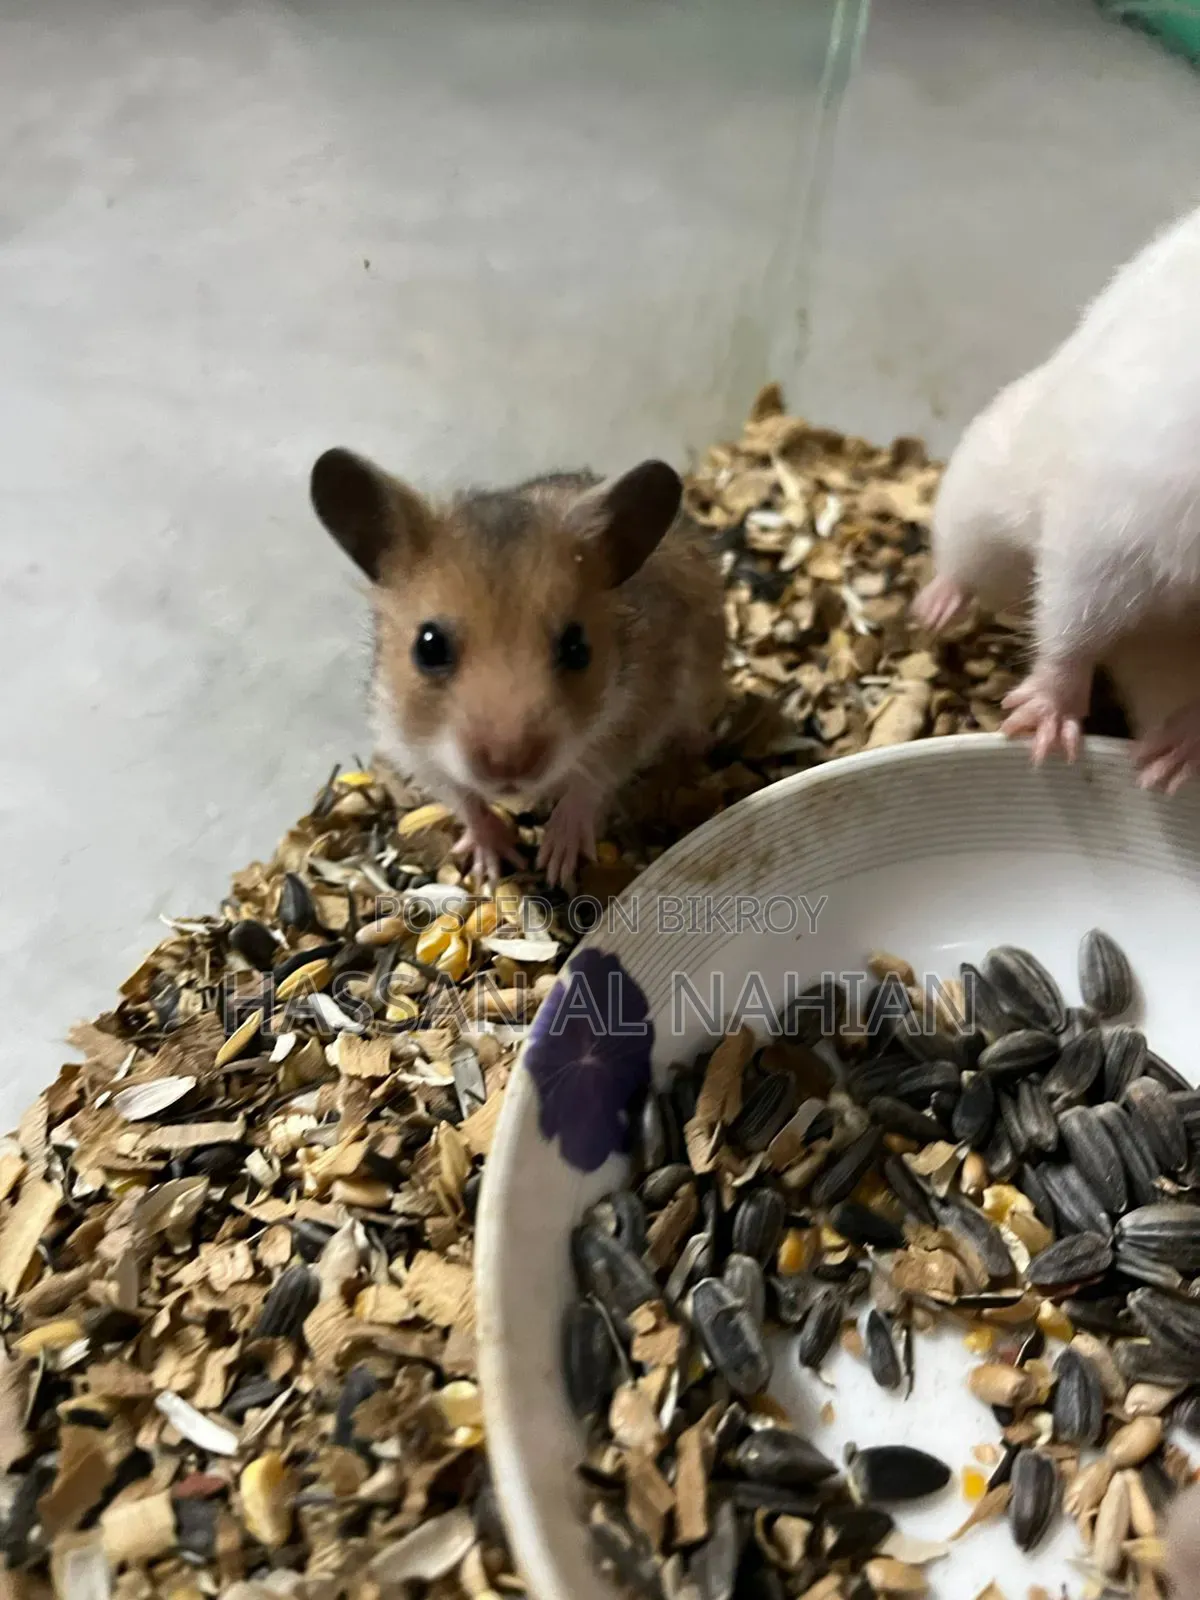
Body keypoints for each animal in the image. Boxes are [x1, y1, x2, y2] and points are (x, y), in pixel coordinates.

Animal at [310, 450, 726, 887]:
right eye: (429, 646)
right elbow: (463, 797)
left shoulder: (641, 711)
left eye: (577, 647)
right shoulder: (409, 744)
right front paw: (494, 864)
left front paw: (555, 861)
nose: (508, 768)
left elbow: (591, 781)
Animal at [913, 199, 1200, 790]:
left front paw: (1169, 763)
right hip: (986, 493)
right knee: (966, 561)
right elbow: (1074, 623)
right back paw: (932, 612)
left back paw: (1164, 765)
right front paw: (1041, 729)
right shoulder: (1113, 526)